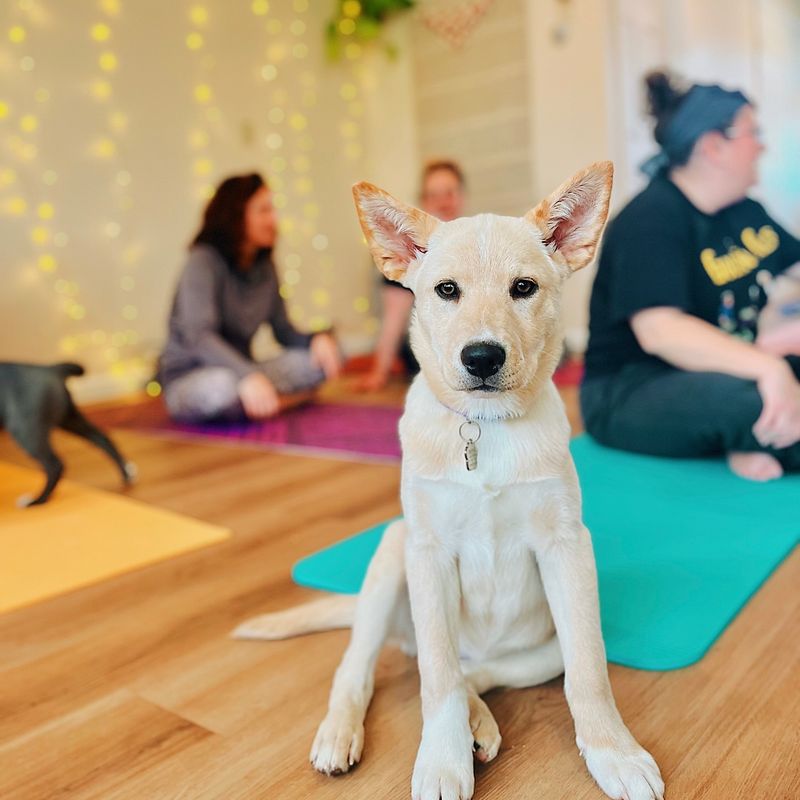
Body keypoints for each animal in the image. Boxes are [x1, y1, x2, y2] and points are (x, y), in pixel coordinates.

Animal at [234, 162, 664, 800]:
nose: (482, 358)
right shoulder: (428, 551)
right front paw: (441, 761)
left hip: (540, 649)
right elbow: (435, 678)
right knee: (369, 668)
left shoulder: (567, 547)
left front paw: (615, 752)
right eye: (446, 291)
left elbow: (589, 671)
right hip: (392, 554)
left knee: (477, 672)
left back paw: (478, 722)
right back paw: (343, 732)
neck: (485, 427)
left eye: (523, 288)